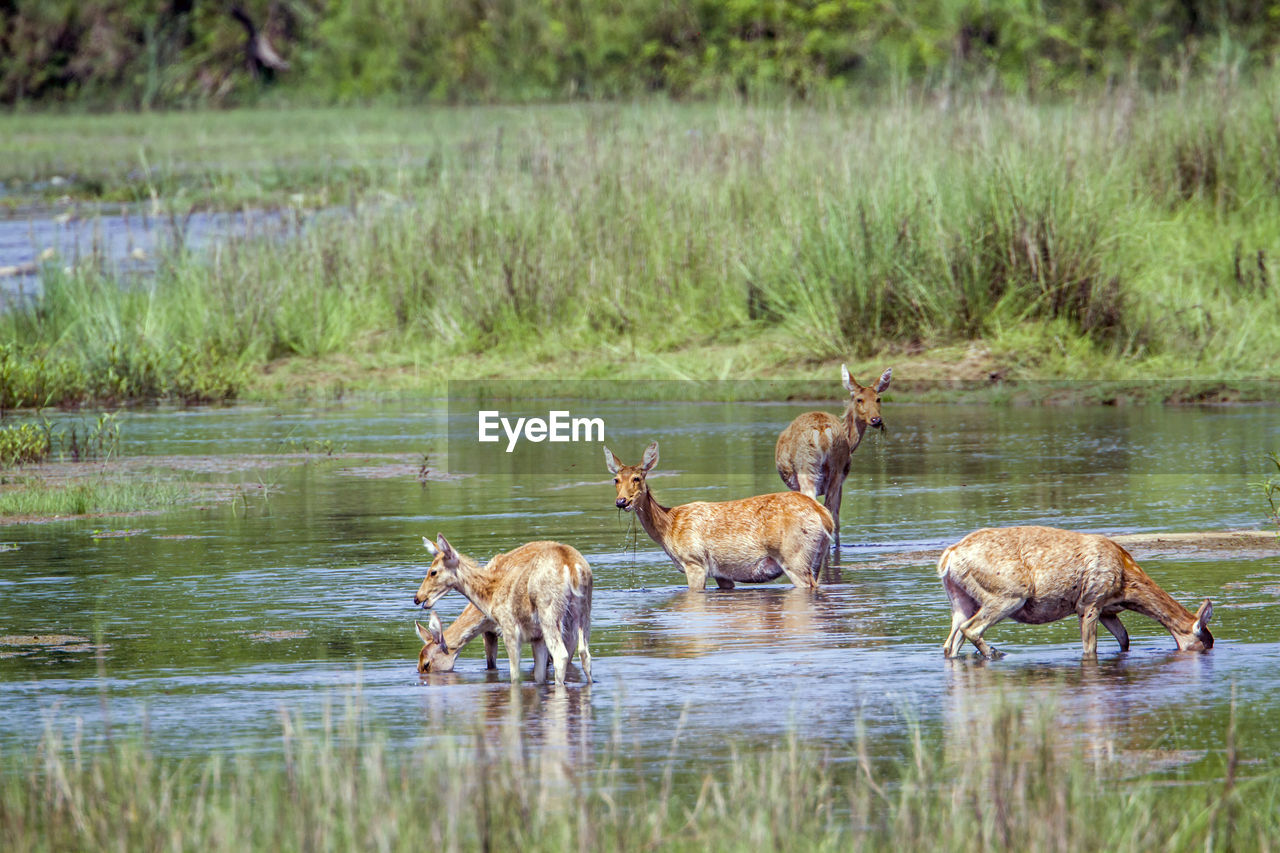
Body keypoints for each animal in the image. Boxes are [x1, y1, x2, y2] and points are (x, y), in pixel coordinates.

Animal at [412, 537, 591, 686]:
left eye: (433, 571)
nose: (417, 598)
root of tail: (570, 564)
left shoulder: (510, 630)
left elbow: (515, 676)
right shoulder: (516, 636)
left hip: (551, 615)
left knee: (562, 656)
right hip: (583, 612)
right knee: (584, 654)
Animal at [604, 440, 834, 589]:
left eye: (637, 478)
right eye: (616, 480)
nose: (621, 501)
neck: (668, 528)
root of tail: (824, 515)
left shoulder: (694, 562)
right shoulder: (722, 574)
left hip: (794, 555)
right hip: (816, 556)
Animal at [773, 363, 896, 545]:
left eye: (878, 398)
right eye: (859, 399)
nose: (876, 420)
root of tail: (822, 432)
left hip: (808, 467)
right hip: (834, 468)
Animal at [936, 525, 1213, 655]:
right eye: (1205, 642)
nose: (1210, 649)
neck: (1126, 583)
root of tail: (949, 556)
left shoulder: (1108, 610)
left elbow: (1124, 639)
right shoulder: (1089, 602)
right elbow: (1090, 648)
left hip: (961, 599)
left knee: (951, 644)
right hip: (1008, 594)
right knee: (971, 628)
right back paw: (997, 653)